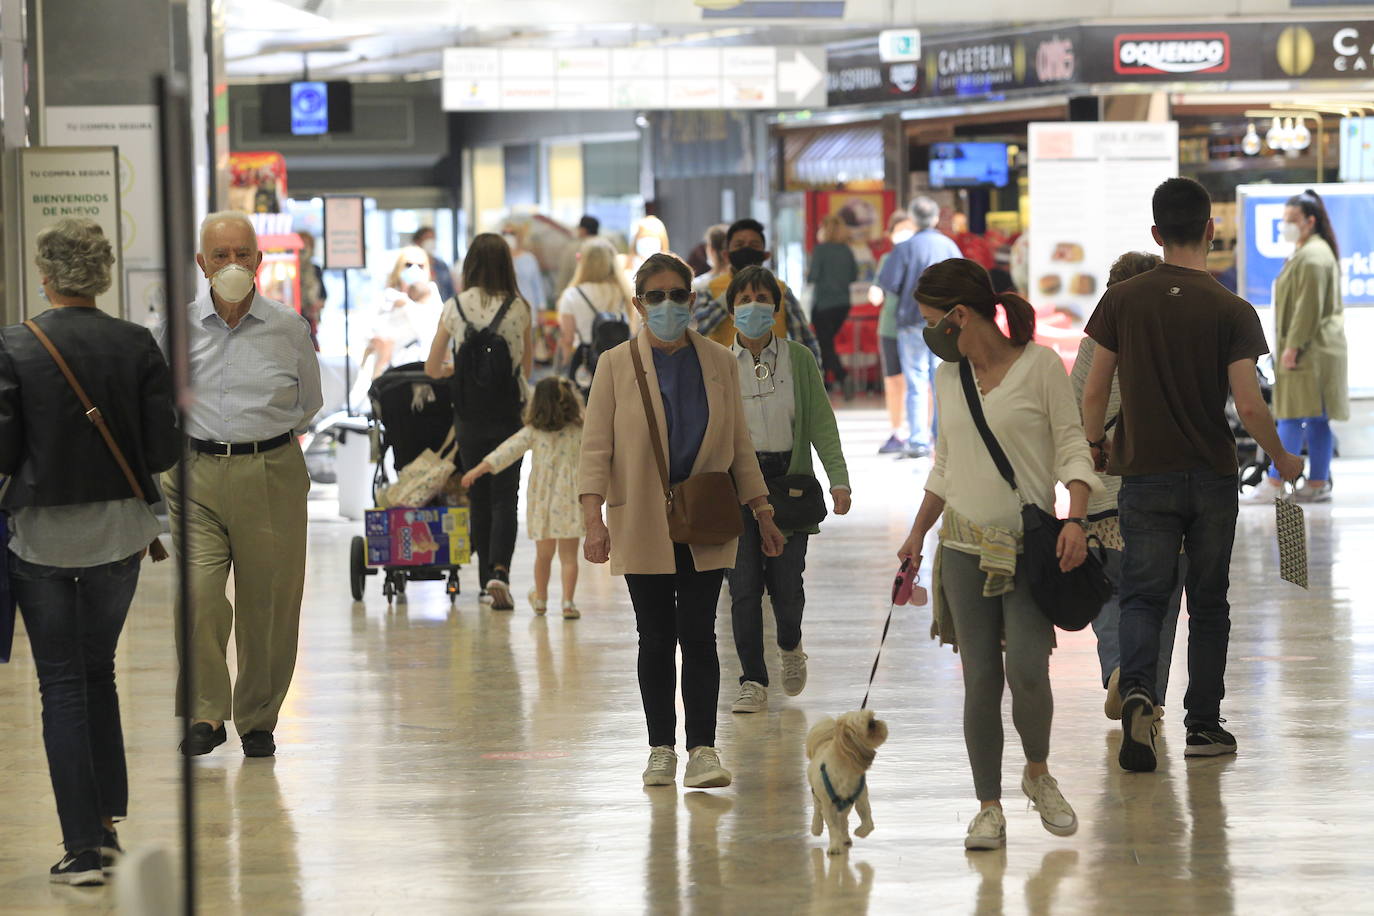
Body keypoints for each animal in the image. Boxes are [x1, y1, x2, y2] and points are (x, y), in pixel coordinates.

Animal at [802, 714, 890, 856]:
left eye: (872, 719)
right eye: (869, 725)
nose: (877, 723)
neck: (845, 767)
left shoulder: (860, 799)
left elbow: (868, 823)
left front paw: (860, 832)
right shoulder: (828, 805)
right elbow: (833, 827)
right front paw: (835, 846)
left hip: (847, 804)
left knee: (843, 819)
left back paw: (845, 837)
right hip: (817, 795)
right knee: (817, 809)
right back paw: (817, 827)